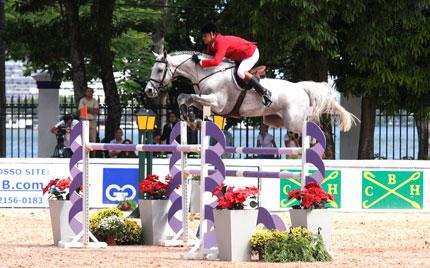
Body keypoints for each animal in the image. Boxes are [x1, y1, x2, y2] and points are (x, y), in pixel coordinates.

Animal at [144, 50, 356, 132]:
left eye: (160, 70)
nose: (148, 91)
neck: (206, 72)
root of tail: (300, 87)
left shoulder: (217, 103)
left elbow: (187, 97)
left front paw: (191, 118)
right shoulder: (206, 99)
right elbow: (184, 97)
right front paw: (191, 119)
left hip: (294, 120)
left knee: (312, 123)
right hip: (275, 120)